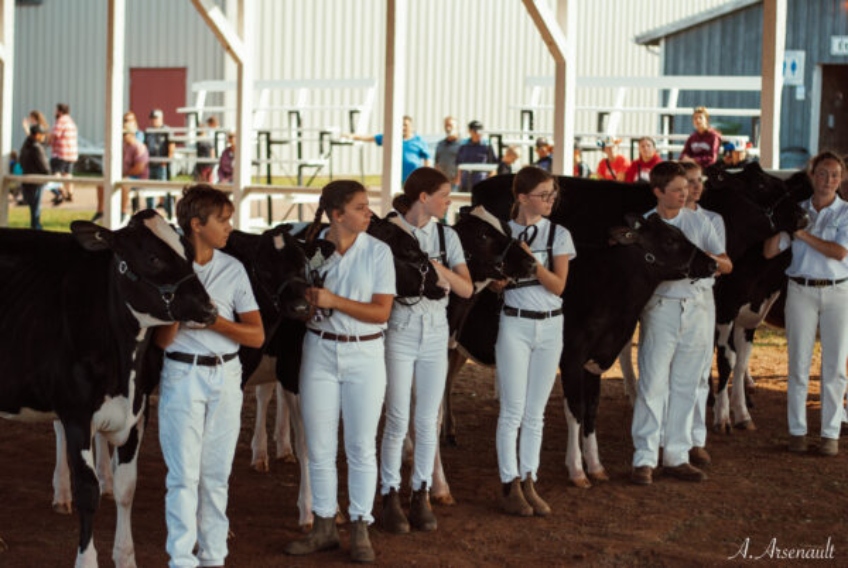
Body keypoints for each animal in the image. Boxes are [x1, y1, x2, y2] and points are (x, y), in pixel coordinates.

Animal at [0, 212, 217, 568]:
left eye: (187, 250)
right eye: (153, 258)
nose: (210, 309)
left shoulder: (139, 411)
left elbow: (126, 487)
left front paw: (126, 556)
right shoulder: (77, 414)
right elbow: (88, 491)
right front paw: (86, 560)